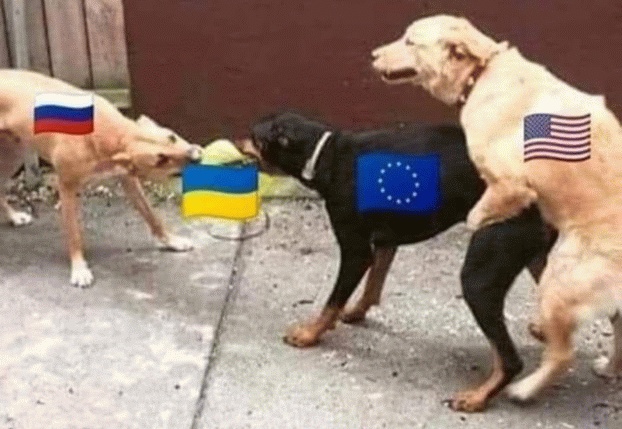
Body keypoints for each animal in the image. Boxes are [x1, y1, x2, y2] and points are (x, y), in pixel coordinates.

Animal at [0, 69, 202, 287]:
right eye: (160, 159)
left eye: (172, 137)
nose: (197, 156)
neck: (111, 134)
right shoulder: (66, 186)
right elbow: (74, 234)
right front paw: (79, 268)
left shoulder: (128, 179)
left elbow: (152, 215)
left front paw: (170, 241)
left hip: (12, 157)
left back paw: (12, 216)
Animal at [237, 112, 555, 411]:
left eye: (254, 135)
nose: (236, 141)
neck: (326, 154)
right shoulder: (385, 240)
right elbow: (373, 283)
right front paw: (356, 312)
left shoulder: (356, 251)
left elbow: (332, 301)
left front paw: (309, 333)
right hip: (534, 257)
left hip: (480, 278)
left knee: (511, 360)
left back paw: (477, 398)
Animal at [372, 14, 622, 406]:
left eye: (410, 41)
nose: (372, 55)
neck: (482, 74)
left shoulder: (512, 182)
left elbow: (480, 212)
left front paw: (478, 222)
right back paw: (609, 369)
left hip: (560, 280)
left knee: (562, 354)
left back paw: (525, 389)